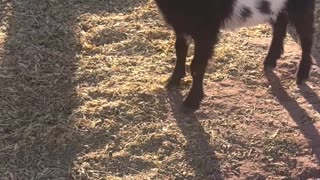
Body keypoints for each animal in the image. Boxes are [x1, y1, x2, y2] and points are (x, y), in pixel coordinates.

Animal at [154, 0, 316, 111]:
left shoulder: (206, 29)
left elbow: (197, 65)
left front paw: (192, 102)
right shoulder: (181, 23)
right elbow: (180, 51)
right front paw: (173, 81)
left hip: (301, 5)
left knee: (306, 35)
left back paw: (302, 74)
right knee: (280, 25)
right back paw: (270, 60)